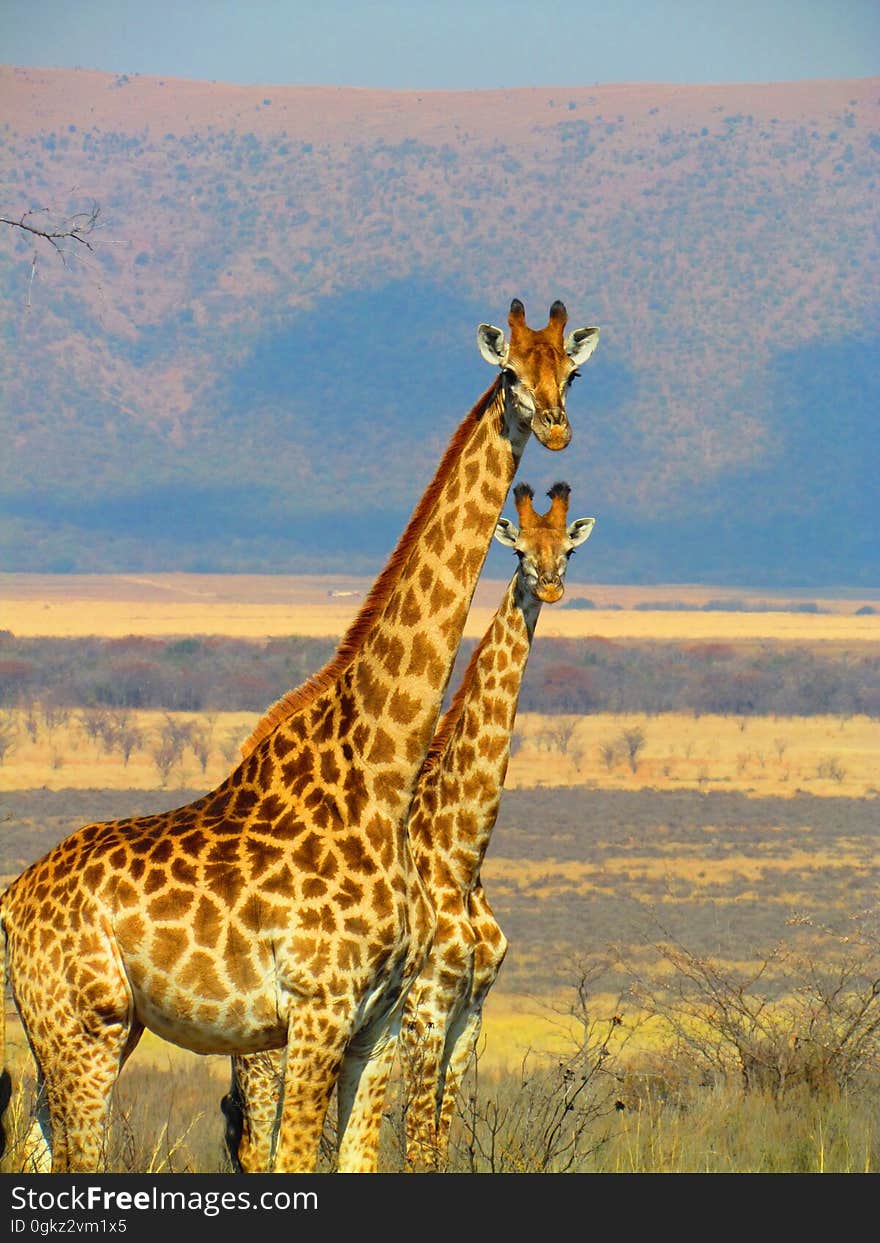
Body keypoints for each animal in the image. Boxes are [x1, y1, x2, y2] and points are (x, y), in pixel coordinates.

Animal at [224, 482, 599, 1173]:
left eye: (568, 548)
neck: (462, 852)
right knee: (256, 1143)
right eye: (520, 549)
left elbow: (438, 1145)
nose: (550, 584)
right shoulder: (426, 1006)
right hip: (266, 1047)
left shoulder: (469, 1012)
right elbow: (418, 1145)